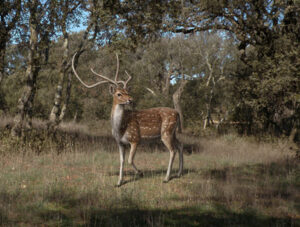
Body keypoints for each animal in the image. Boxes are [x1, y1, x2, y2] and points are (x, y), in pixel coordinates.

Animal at [71, 52, 183, 186]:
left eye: (127, 91)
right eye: (119, 94)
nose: (131, 99)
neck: (120, 128)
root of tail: (177, 113)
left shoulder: (135, 139)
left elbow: (129, 160)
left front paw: (140, 173)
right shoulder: (120, 143)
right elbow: (121, 160)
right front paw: (119, 182)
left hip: (166, 132)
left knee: (172, 150)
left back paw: (166, 178)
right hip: (172, 133)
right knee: (180, 145)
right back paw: (178, 173)